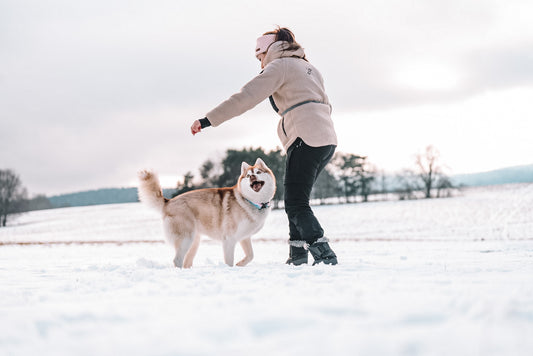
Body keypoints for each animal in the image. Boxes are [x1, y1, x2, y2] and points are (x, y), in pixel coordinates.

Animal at [138, 159, 274, 268]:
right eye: (248, 175)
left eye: (258, 172)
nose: (252, 177)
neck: (250, 201)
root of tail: (168, 202)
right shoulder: (229, 239)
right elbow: (229, 261)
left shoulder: (244, 237)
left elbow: (251, 255)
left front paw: (240, 264)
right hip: (186, 239)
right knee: (177, 260)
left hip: (194, 242)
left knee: (187, 262)